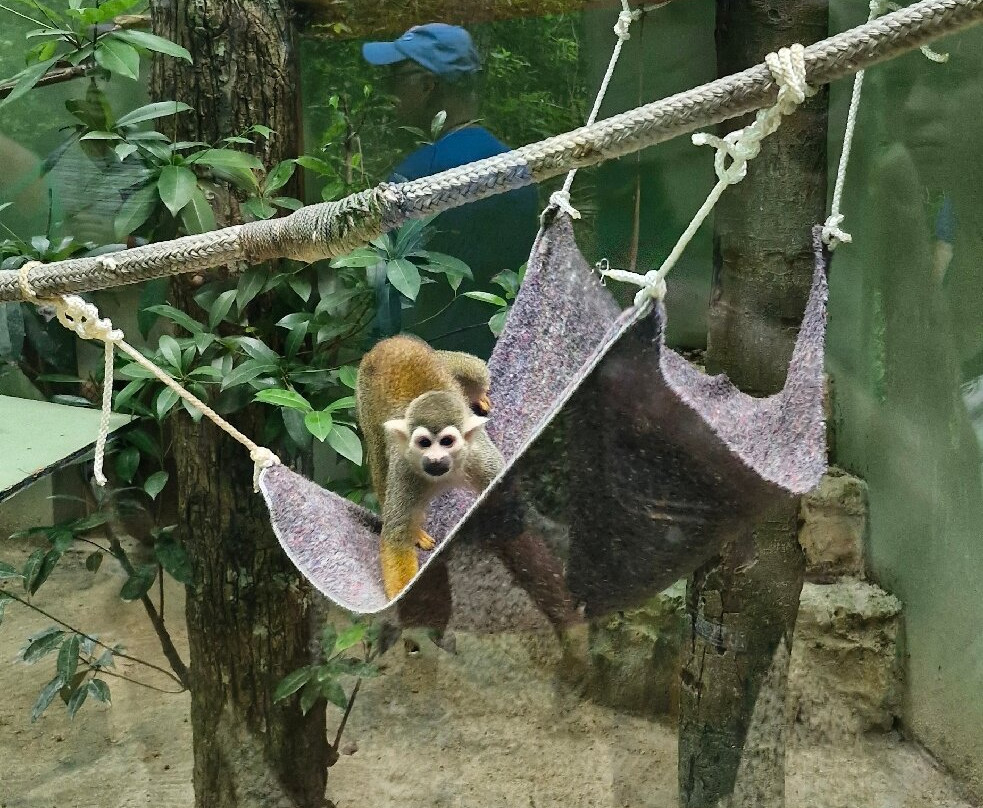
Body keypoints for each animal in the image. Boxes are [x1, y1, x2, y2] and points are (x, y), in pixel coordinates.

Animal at [356, 335, 504, 598]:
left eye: (447, 442)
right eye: (424, 443)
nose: (435, 459)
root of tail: (389, 342)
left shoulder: (476, 454)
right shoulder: (406, 466)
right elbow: (396, 535)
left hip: (441, 357)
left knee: (477, 373)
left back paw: (477, 396)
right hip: (366, 397)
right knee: (379, 456)